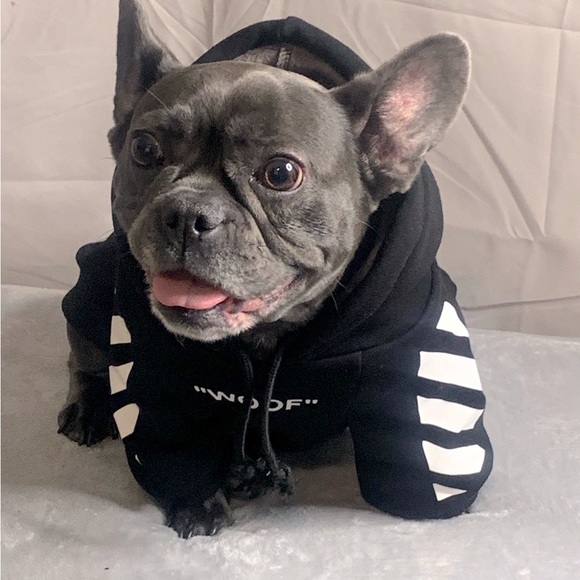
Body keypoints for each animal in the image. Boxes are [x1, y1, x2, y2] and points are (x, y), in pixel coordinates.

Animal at [59, 0, 492, 538]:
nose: (187, 213)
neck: (267, 337)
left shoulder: (412, 344)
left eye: (281, 173)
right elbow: (170, 442)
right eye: (143, 150)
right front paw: (197, 504)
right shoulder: (154, 365)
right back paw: (88, 406)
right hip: (96, 279)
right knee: (84, 353)